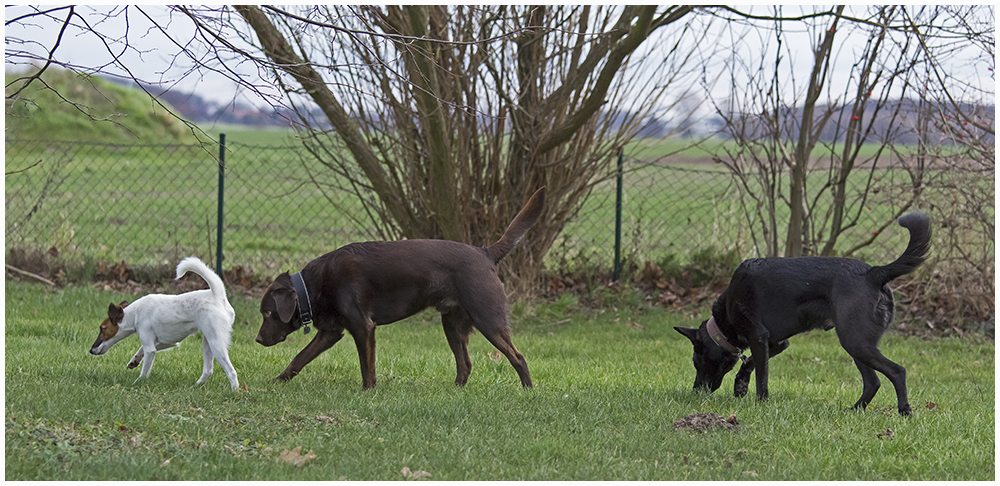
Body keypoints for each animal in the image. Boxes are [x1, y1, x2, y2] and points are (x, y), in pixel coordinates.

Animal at [89, 256, 239, 390]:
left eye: (102, 328)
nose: (91, 350)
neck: (135, 313)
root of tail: (218, 295)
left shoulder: (150, 348)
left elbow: (144, 370)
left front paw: (138, 382)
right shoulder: (168, 342)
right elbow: (141, 349)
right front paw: (135, 360)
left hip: (216, 343)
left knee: (231, 372)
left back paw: (235, 391)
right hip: (207, 341)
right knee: (208, 371)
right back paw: (195, 387)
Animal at [254, 188, 544, 390]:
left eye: (267, 313)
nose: (256, 340)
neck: (312, 285)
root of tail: (485, 253)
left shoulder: (363, 327)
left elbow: (367, 366)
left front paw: (368, 392)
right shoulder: (331, 332)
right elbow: (299, 358)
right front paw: (278, 381)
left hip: (488, 320)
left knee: (518, 357)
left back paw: (528, 392)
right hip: (453, 324)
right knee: (465, 364)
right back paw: (454, 392)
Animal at [676, 212, 932, 414]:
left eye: (697, 362)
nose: (696, 392)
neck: (726, 317)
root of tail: (874, 273)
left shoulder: (758, 338)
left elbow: (761, 376)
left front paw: (761, 403)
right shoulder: (776, 342)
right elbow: (749, 363)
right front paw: (740, 385)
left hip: (856, 342)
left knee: (897, 372)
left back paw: (904, 411)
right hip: (857, 345)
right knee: (873, 382)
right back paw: (854, 410)